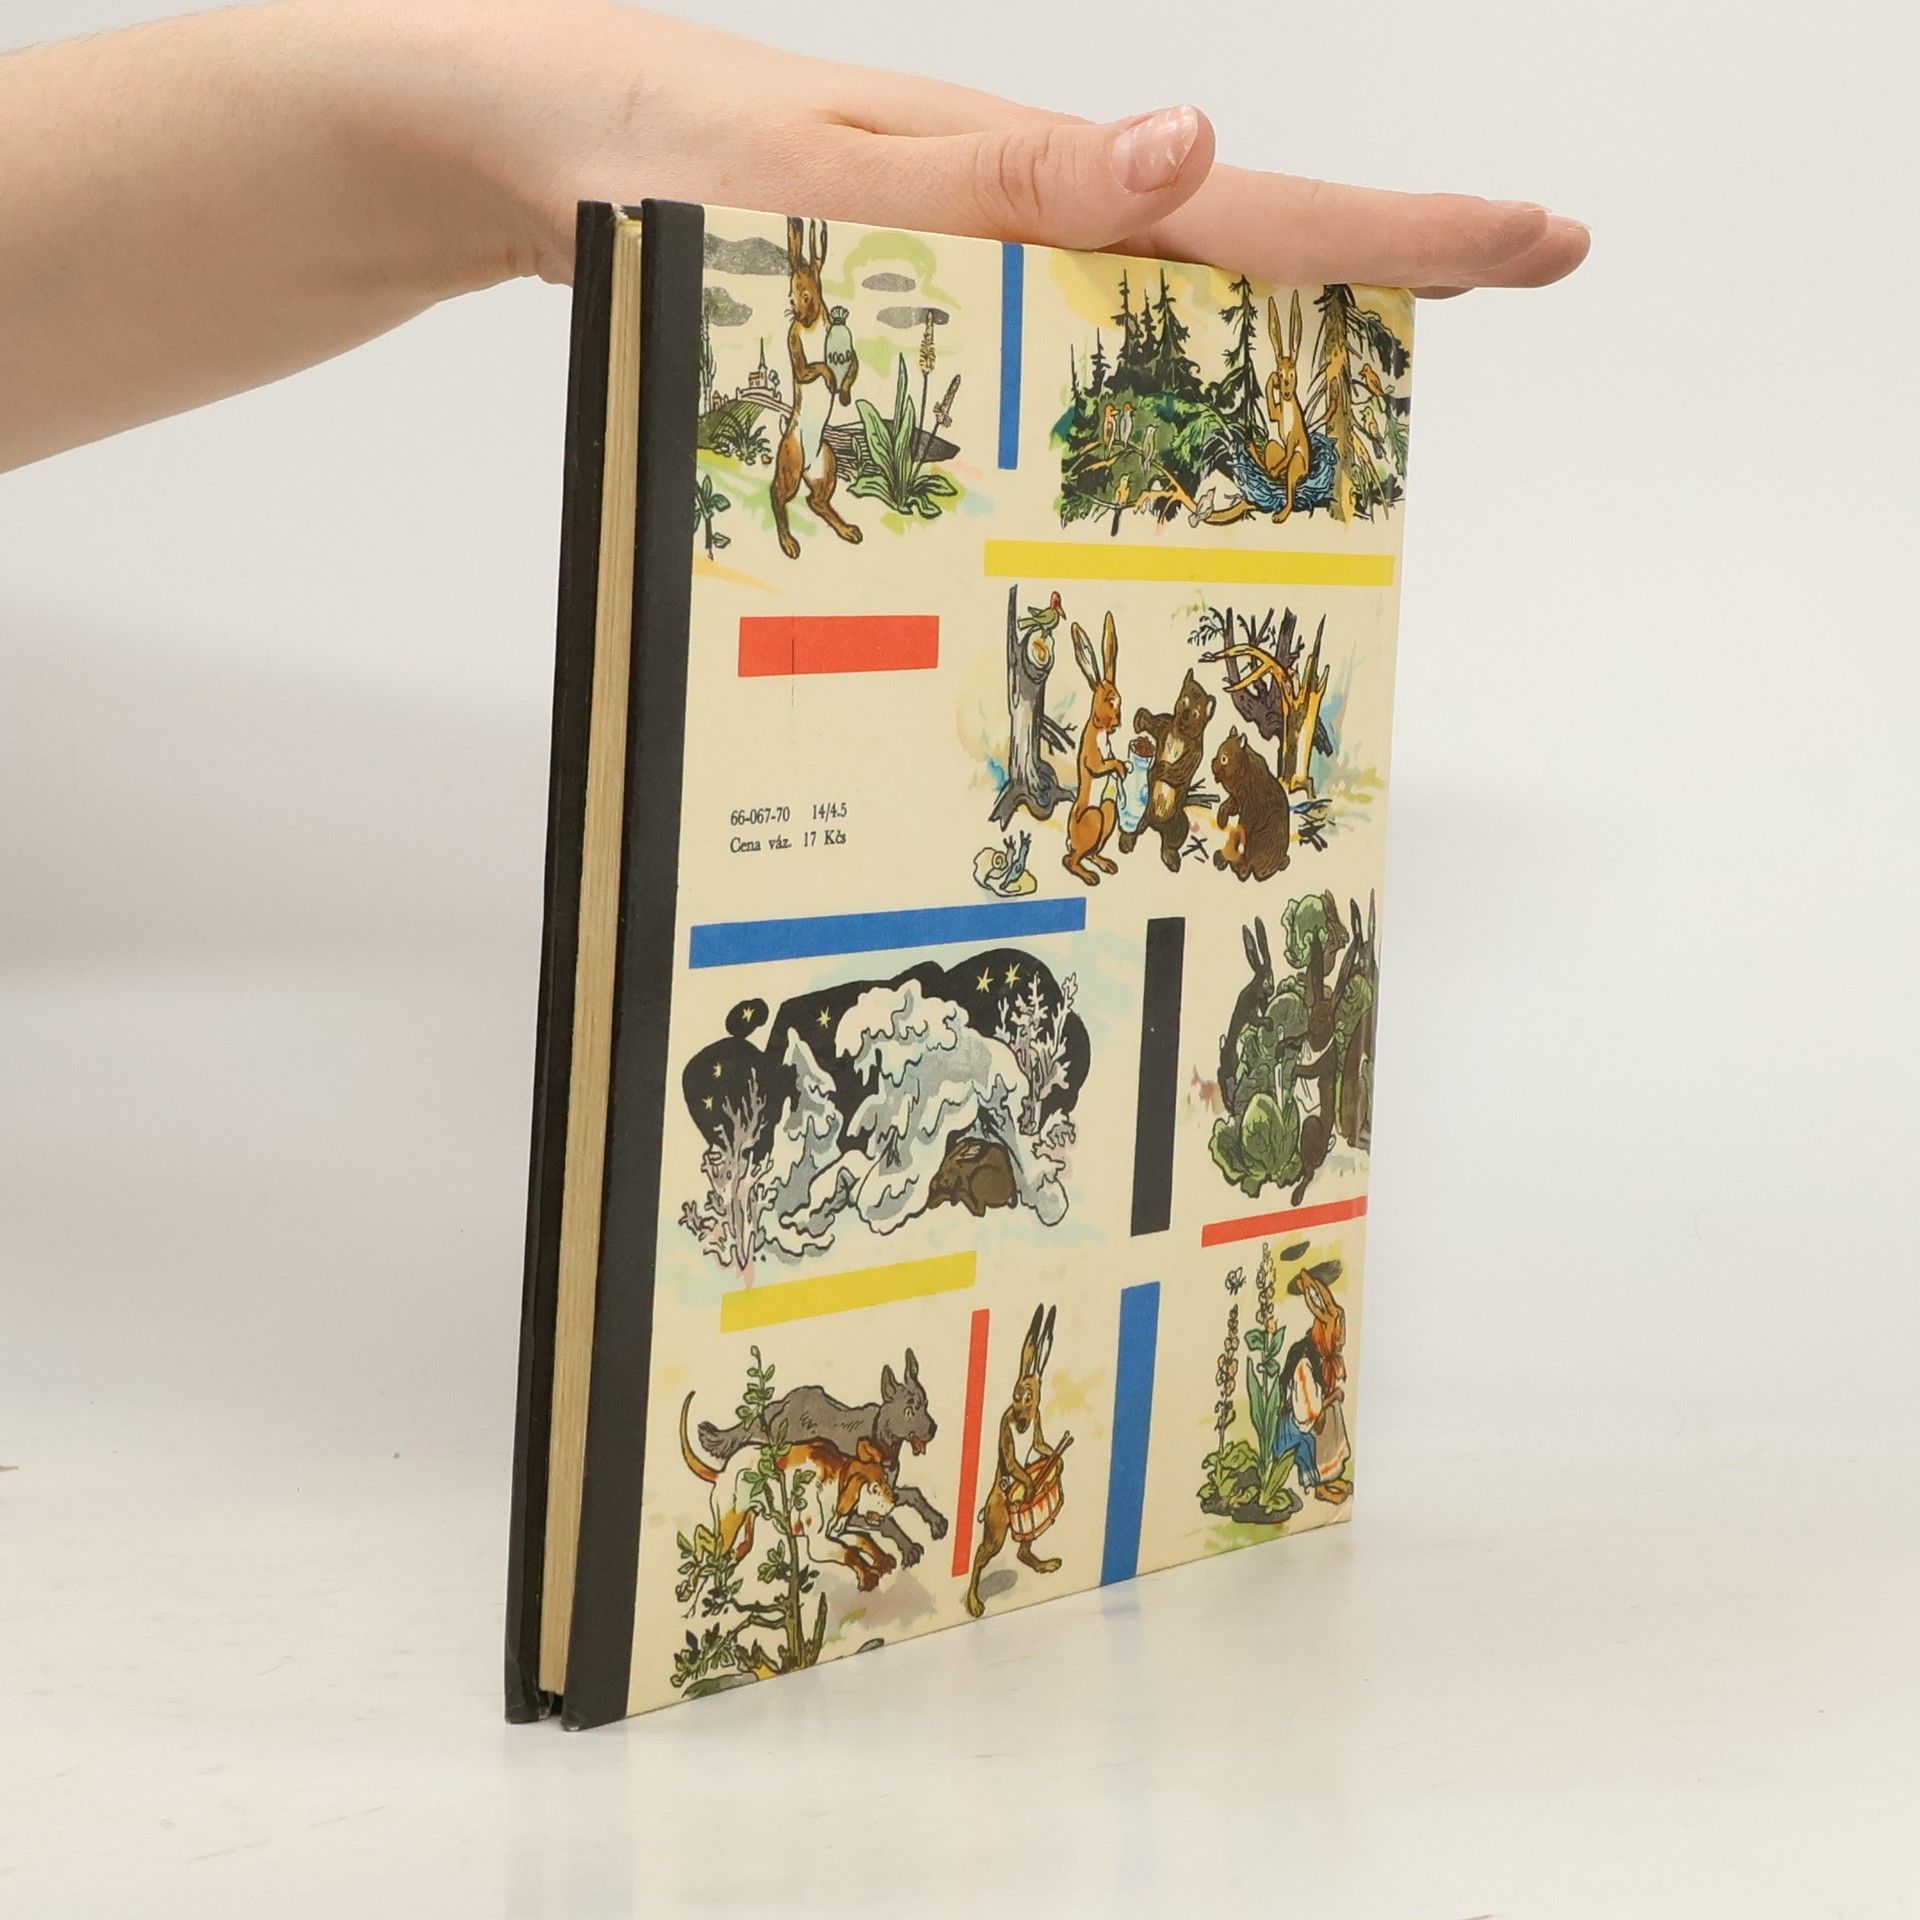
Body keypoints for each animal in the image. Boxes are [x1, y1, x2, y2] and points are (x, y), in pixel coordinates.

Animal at [770, 217, 861, 560]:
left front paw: (844, 394)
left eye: (807, 295)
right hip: (791, 465)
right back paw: (788, 544)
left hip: (826, 465)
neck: (810, 327)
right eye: (790, 297)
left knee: (815, 501)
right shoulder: (795, 345)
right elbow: (814, 367)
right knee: (778, 496)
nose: (796, 312)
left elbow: (852, 367)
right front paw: (832, 381)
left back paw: (848, 531)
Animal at [964, 1304, 1073, 1619]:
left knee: (1023, 1550)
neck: (1023, 1419)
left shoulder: (1036, 1423)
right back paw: (973, 1601)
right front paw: (1032, 1485)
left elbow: (1040, 1445)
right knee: (981, 1554)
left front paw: (1056, 1463)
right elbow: (1014, 1462)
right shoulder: (1006, 1424)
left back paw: (1042, 1564)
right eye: (1016, 1396)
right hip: (997, 1524)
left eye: (1029, 1396)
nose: (1021, 1407)